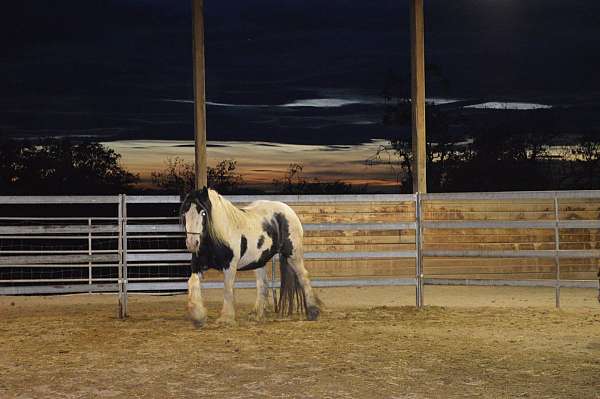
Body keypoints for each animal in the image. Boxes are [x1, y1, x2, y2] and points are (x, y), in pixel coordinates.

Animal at [179, 188, 322, 328]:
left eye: (203, 213)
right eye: (185, 213)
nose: (192, 243)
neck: (218, 235)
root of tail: (288, 210)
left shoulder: (230, 267)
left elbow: (227, 289)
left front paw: (226, 318)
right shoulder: (197, 266)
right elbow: (192, 283)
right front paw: (198, 317)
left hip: (293, 255)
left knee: (303, 277)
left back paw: (313, 311)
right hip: (259, 261)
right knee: (263, 285)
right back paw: (256, 314)